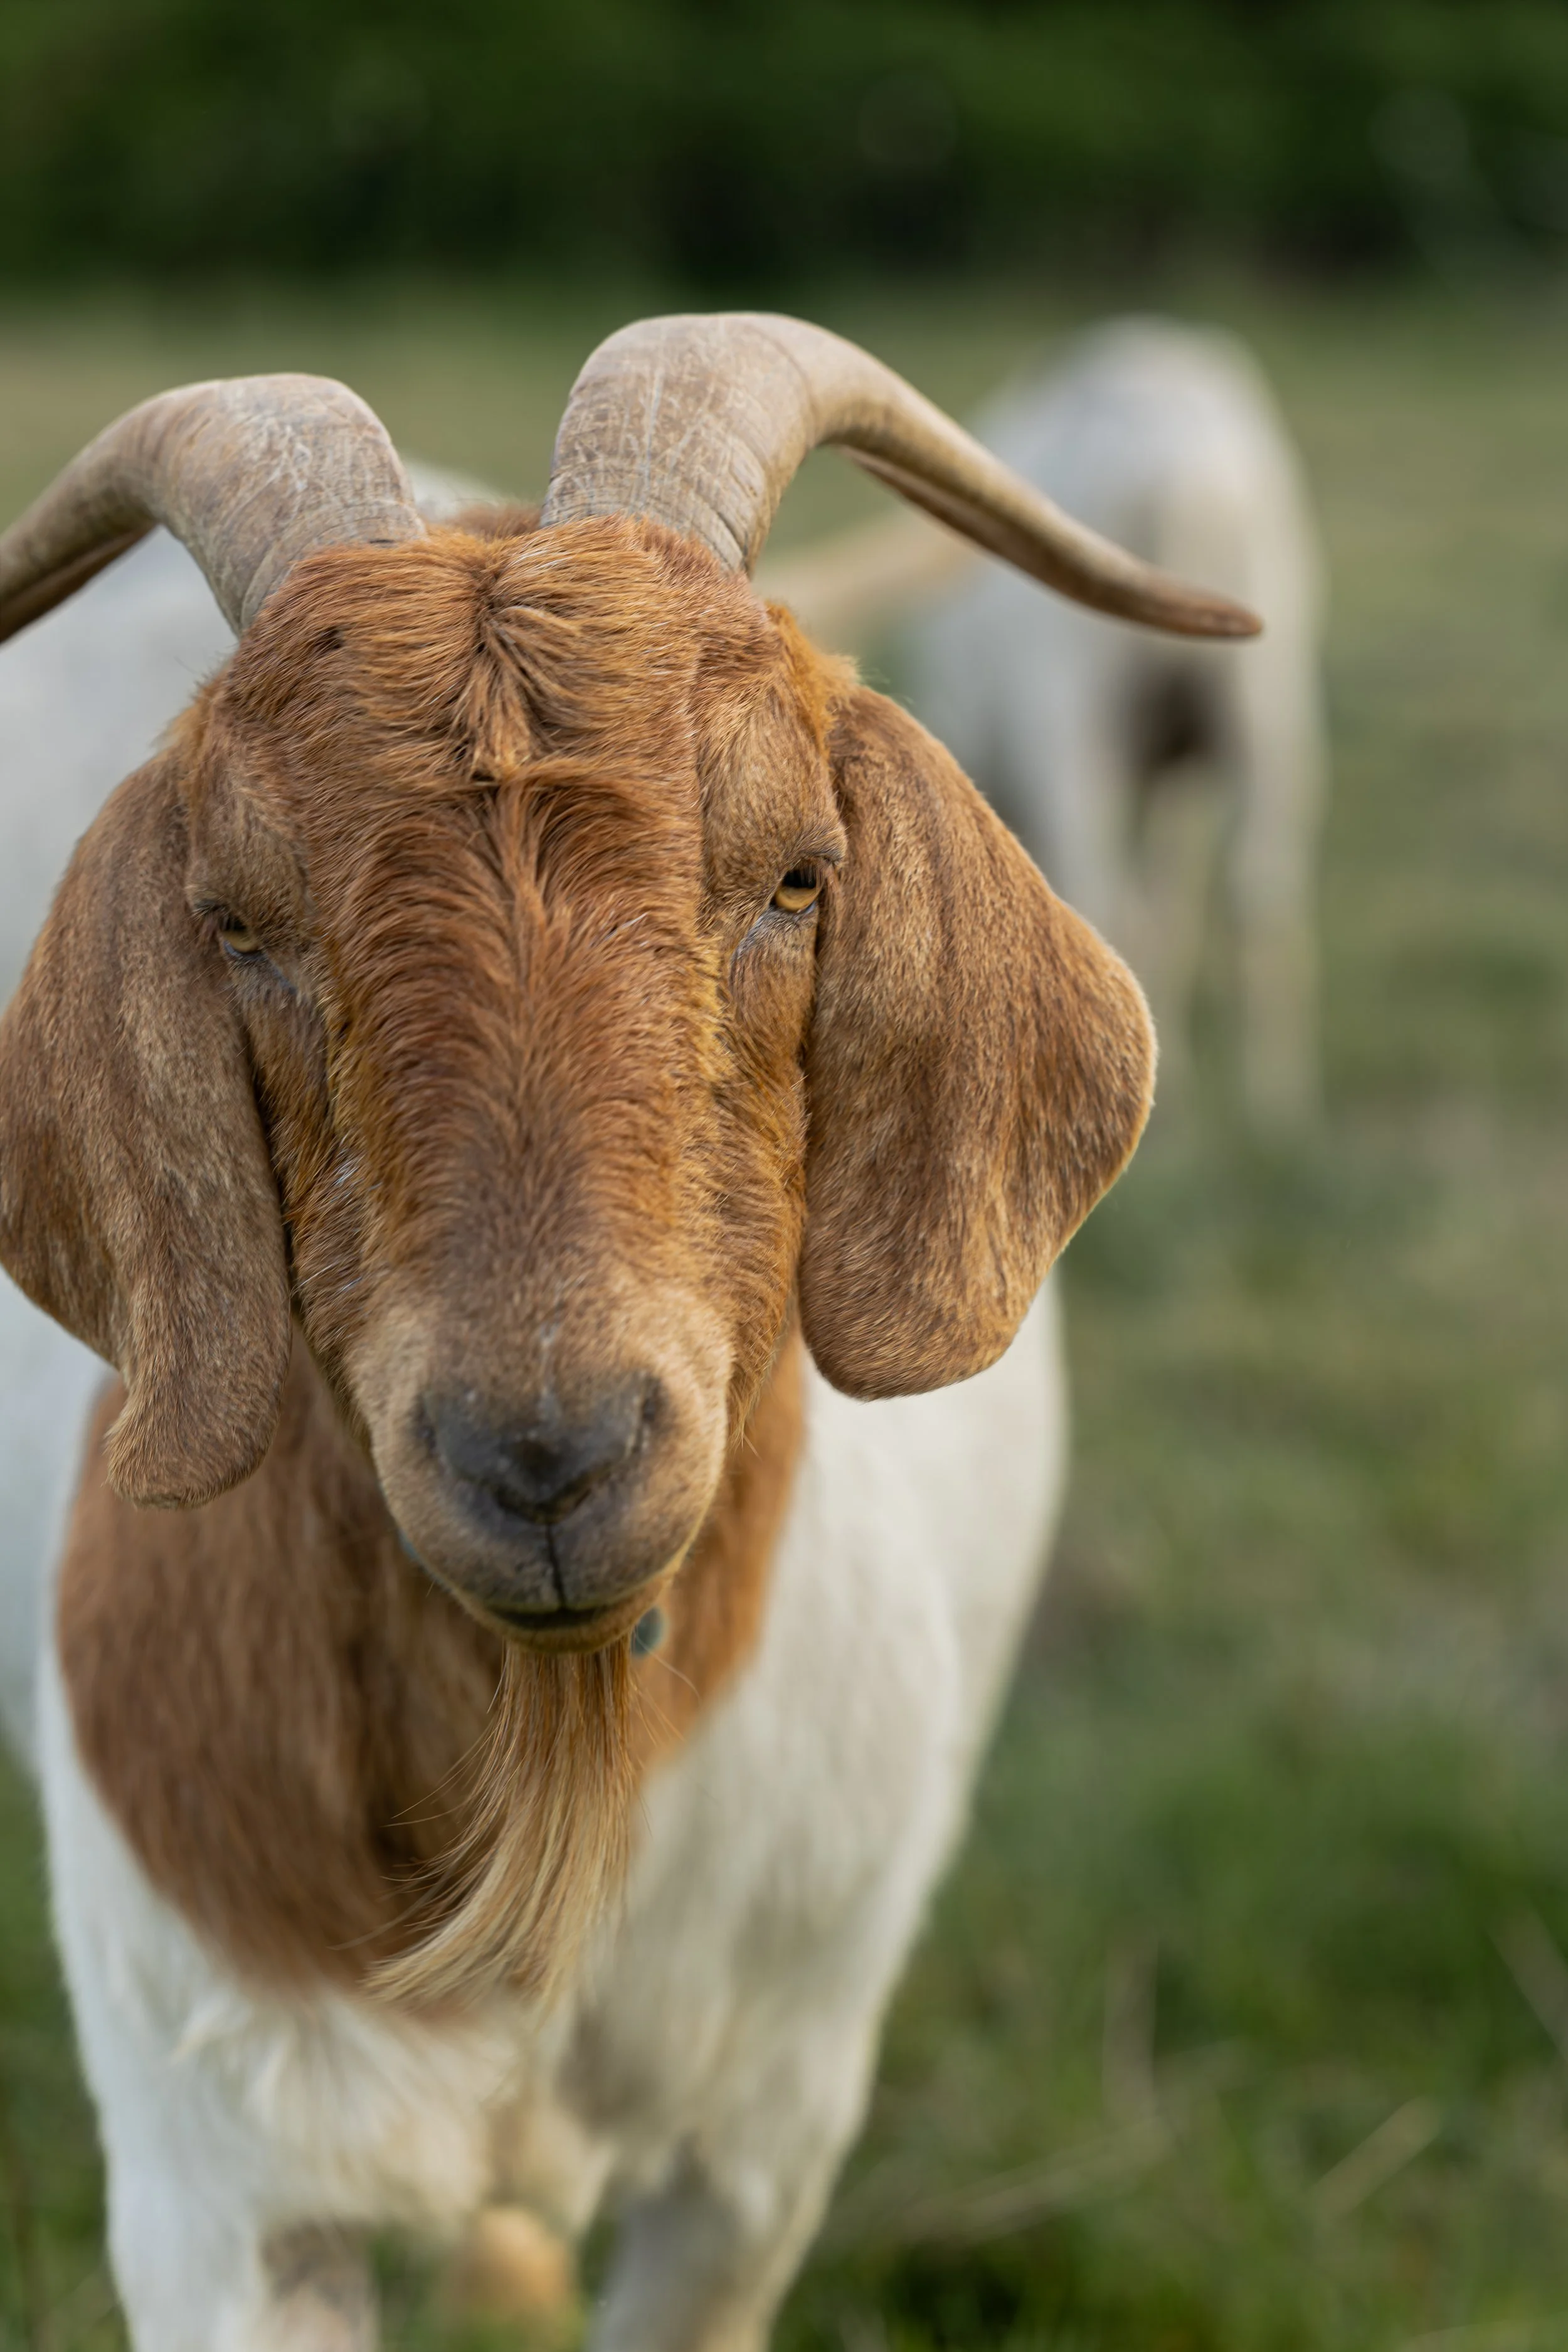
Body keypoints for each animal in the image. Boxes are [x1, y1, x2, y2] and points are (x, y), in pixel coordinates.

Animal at [763, 319, 1327, 1131]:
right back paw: (1273, 1106)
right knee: (1256, 895)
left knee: (1112, 899)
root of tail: (1174, 478)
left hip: (1075, 723)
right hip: (1261, 712)